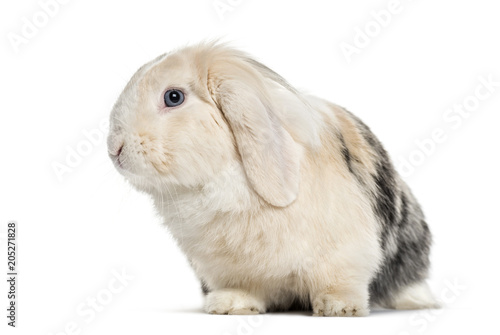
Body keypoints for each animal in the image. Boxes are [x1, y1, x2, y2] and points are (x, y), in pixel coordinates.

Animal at [108, 42, 438, 318]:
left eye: (173, 97)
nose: (114, 148)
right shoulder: (231, 269)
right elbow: (243, 287)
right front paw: (230, 305)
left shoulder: (347, 253)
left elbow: (339, 282)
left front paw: (339, 308)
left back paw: (418, 301)